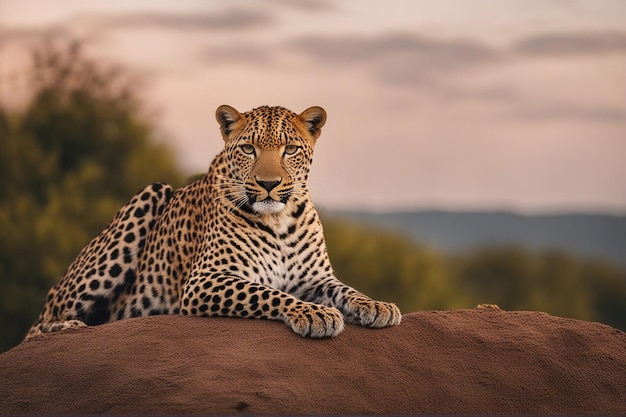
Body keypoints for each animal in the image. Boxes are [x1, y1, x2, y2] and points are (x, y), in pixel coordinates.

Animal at [25, 104, 400, 338]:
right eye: (248, 149)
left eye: (290, 149)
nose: (268, 184)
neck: (279, 219)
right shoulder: (205, 279)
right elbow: (267, 293)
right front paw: (313, 314)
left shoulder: (316, 279)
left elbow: (346, 289)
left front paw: (377, 305)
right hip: (151, 193)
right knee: (41, 324)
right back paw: (72, 327)